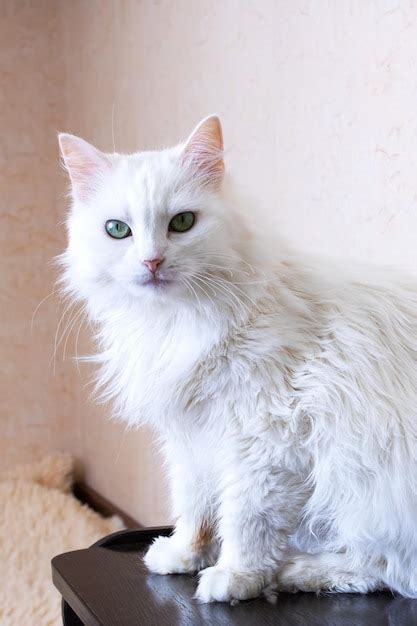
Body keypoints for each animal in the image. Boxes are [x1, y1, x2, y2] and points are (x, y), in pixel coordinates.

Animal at [57, 116, 416, 600]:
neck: (178, 322)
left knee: (384, 571)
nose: (152, 261)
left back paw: (294, 573)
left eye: (182, 223)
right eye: (118, 230)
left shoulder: (263, 439)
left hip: (364, 490)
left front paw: (234, 577)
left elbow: (247, 520)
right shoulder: (191, 439)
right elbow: (195, 508)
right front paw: (184, 556)